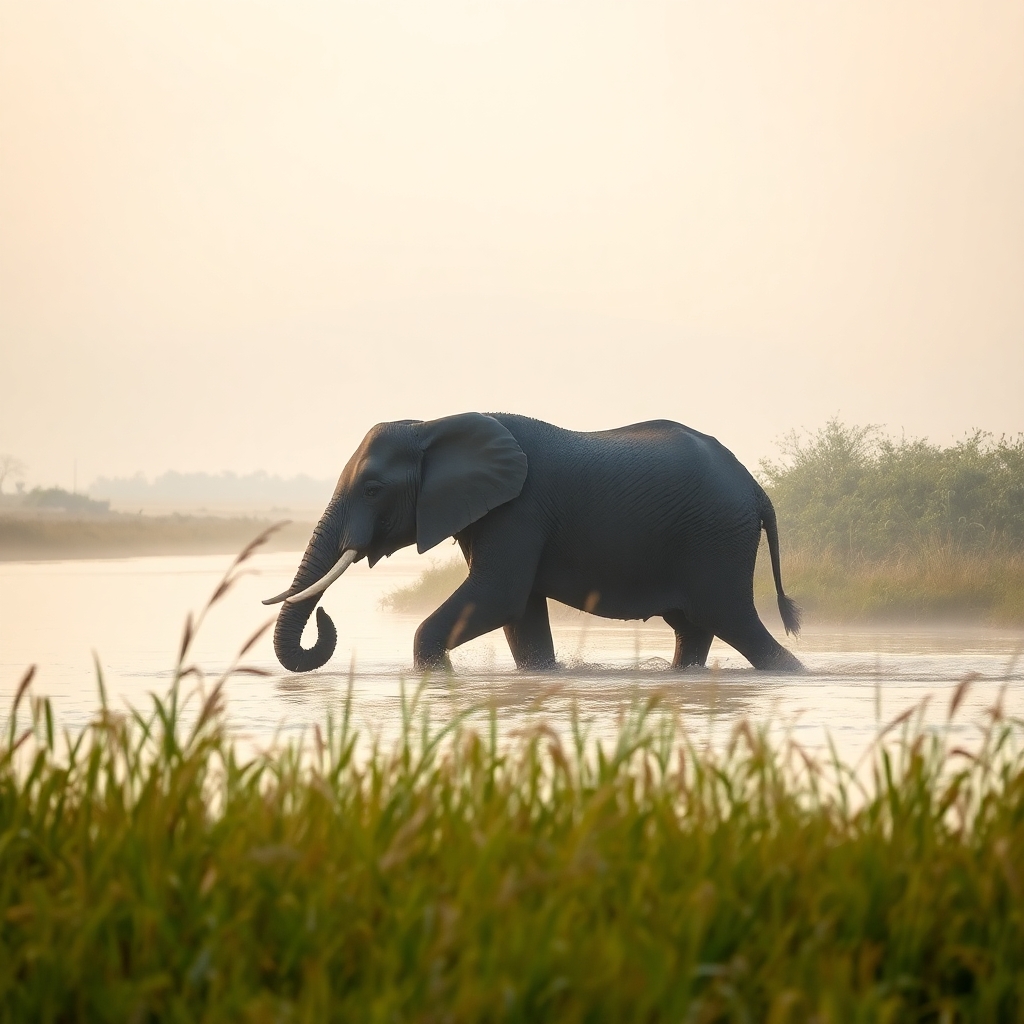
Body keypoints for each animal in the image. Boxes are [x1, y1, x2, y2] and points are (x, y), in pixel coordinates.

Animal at [264, 412, 803, 673]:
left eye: (373, 490)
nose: (325, 618)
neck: (433, 426)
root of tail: (757, 491)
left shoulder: (518, 509)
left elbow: (498, 596)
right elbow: (519, 612)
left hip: (716, 539)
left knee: (732, 621)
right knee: (693, 628)